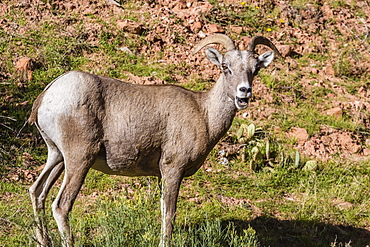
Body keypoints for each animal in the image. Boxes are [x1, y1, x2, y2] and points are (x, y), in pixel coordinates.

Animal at [28, 33, 280, 246]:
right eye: (225, 67)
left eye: (255, 69)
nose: (244, 92)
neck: (204, 114)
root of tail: (47, 95)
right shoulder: (172, 169)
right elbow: (169, 213)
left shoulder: (161, 175)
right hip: (79, 159)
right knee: (61, 206)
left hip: (57, 156)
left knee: (37, 192)